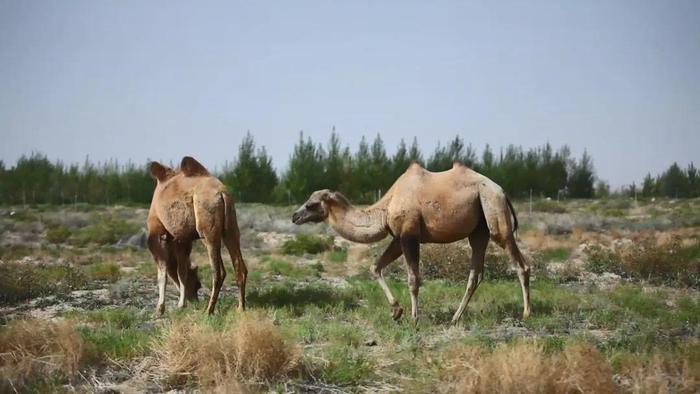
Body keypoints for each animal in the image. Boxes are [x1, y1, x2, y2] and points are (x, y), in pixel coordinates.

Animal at [146, 155, 247, 316]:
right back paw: (240, 308)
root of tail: (222, 194)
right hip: (230, 227)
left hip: (206, 227)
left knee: (218, 272)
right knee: (239, 266)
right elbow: (182, 271)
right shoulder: (182, 238)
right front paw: (181, 304)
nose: (194, 299)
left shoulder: (157, 232)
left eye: (197, 285)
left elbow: (163, 273)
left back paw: (209, 310)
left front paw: (160, 309)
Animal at [292, 162, 532, 322]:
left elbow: (413, 279)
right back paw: (455, 318)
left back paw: (526, 313)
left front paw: (414, 318)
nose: (295, 216)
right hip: (478, 230)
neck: (385, 208)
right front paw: (396, 311)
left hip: (494, 213)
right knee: (476, 273)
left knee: (521, 264)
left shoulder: (409, 235)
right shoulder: (398, 238)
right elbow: (375, 267)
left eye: (311, 204)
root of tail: (502, 191)